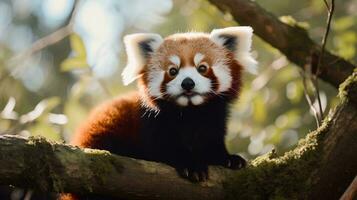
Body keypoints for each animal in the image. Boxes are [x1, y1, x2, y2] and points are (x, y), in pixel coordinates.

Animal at [60, 27, 256, 200]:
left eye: (202, 68)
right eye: (173, 71)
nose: (187, 83)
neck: (190, 113)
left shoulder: (214, 119)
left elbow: (211, 142)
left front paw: (228, 159)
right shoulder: (151, 122)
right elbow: (162, 148)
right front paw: (191, 165)